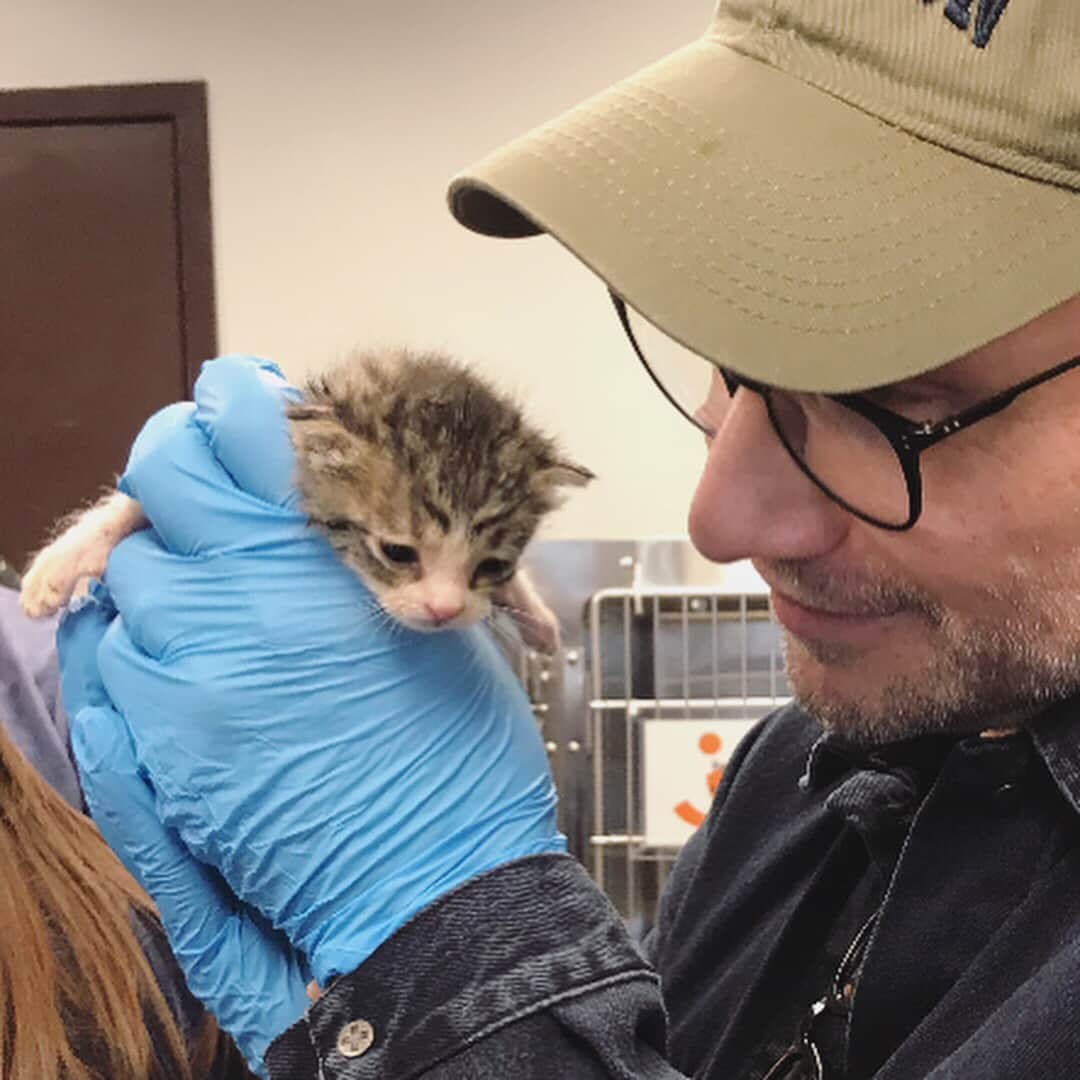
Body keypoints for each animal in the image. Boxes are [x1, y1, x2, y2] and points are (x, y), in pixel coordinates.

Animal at [19, 347, 591, 648]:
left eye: (492, 565)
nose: (445, 609)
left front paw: (536, 618)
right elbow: (134, 504)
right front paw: (60, 566)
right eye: (398, 552)